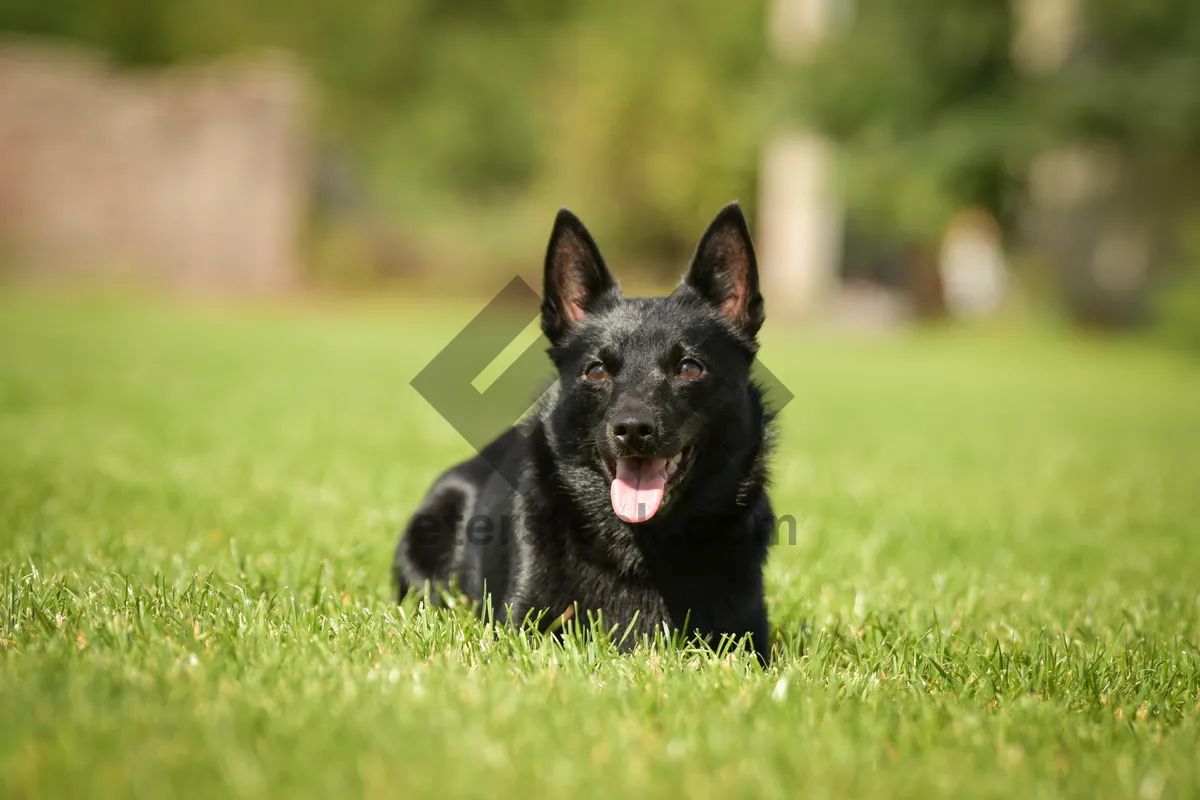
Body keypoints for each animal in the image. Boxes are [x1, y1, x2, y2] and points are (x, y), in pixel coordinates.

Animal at [396, 203, 777, 666]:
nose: (633, 429)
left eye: (689, 367)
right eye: (596, 370)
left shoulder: (747, 644)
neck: (638, 547)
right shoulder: (519, 628)